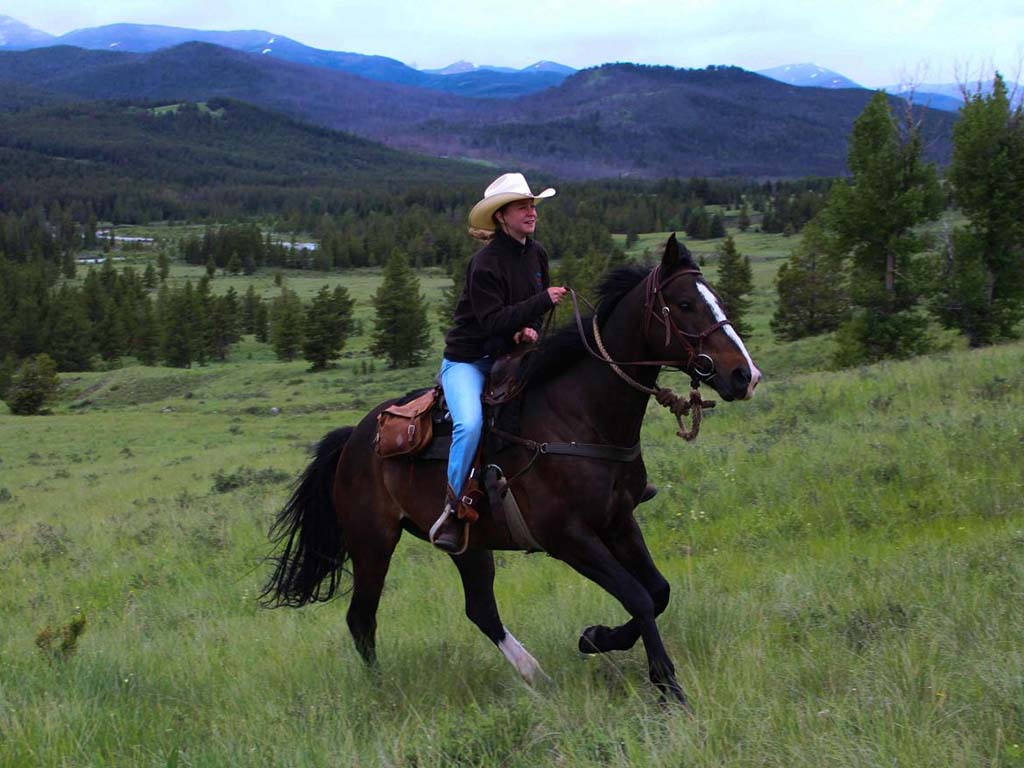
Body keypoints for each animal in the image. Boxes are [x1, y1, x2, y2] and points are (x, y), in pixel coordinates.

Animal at [264, 236, 761, 708]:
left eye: (715, 297)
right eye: (685, 304)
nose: (746, 375)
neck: (579, 415)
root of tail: (354, 439)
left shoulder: (619, 522)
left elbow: (658, 591)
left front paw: (596, 638)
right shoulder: (568, 538)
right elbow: (638, 596)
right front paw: (666, 685)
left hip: (468, 546)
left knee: (480, 609)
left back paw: (536, 676)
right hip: (372, 544)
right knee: (362, 619)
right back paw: (383, 692)